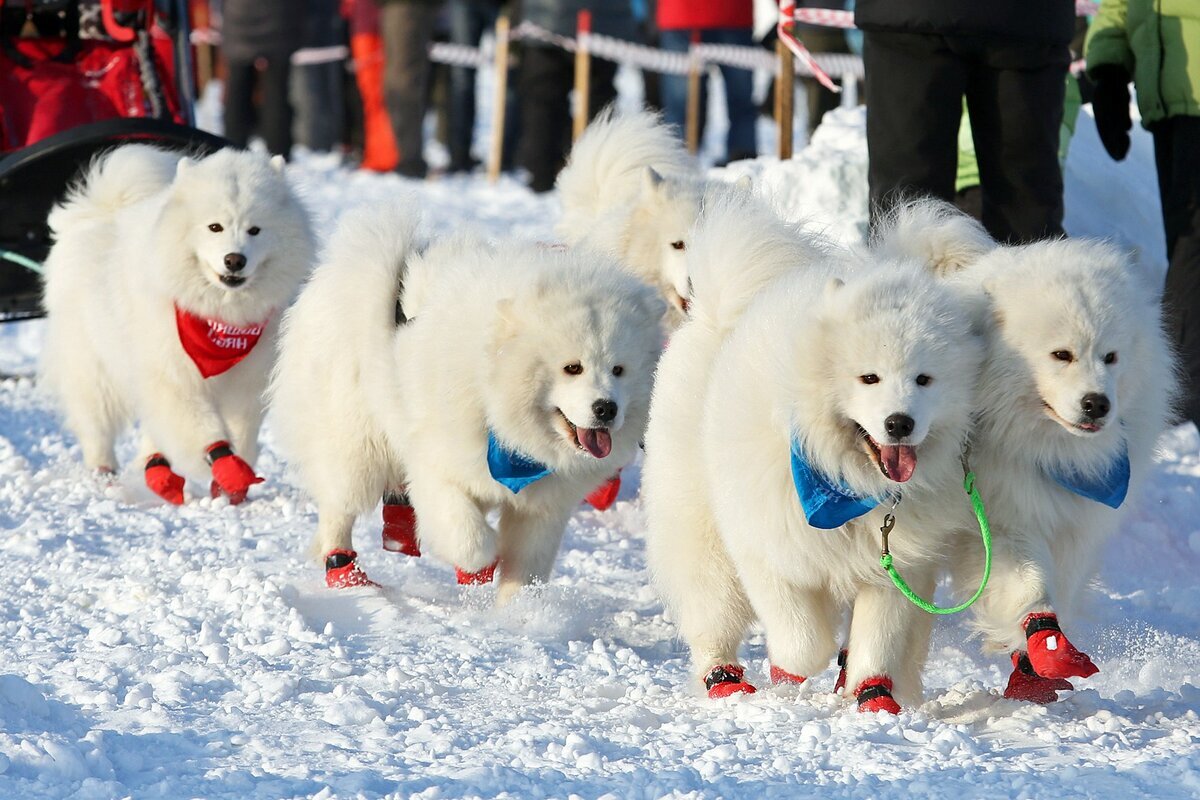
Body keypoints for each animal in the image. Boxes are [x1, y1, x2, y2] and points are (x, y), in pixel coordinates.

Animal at [42, 143, 314, 503]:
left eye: (255, 230)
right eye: (215, 227)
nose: (235, 260)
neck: (220, 315)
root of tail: (100, 210)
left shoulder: (247, 379)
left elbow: (242, 431)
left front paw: (231, 486)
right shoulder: (173, 374)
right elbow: (200, 429)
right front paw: (225, 464)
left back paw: (156, 471)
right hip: (95, 367)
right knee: (95, 421)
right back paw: (105, 469)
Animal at [270, 203, 667, 597]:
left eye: (619, 369)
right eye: (572, 368)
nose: (606, 409)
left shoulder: (541, 508)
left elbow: (524, 569)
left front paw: (519, 610)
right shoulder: (438, 466)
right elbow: (470, 539)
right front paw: (480, 563)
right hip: (357, 446)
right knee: (339, 507)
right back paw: (345, 573)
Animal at [643, 195, 988, 714]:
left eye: (925, 379)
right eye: (869, 378)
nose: (899, 423)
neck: (848, 480)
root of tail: (718, 312)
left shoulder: (896, 566)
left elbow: (877, 640)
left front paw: (871, 695)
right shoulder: (765, 543)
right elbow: (804, 640)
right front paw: (792, 673)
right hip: (700, 533)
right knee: (711, 615)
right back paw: (724, 681)